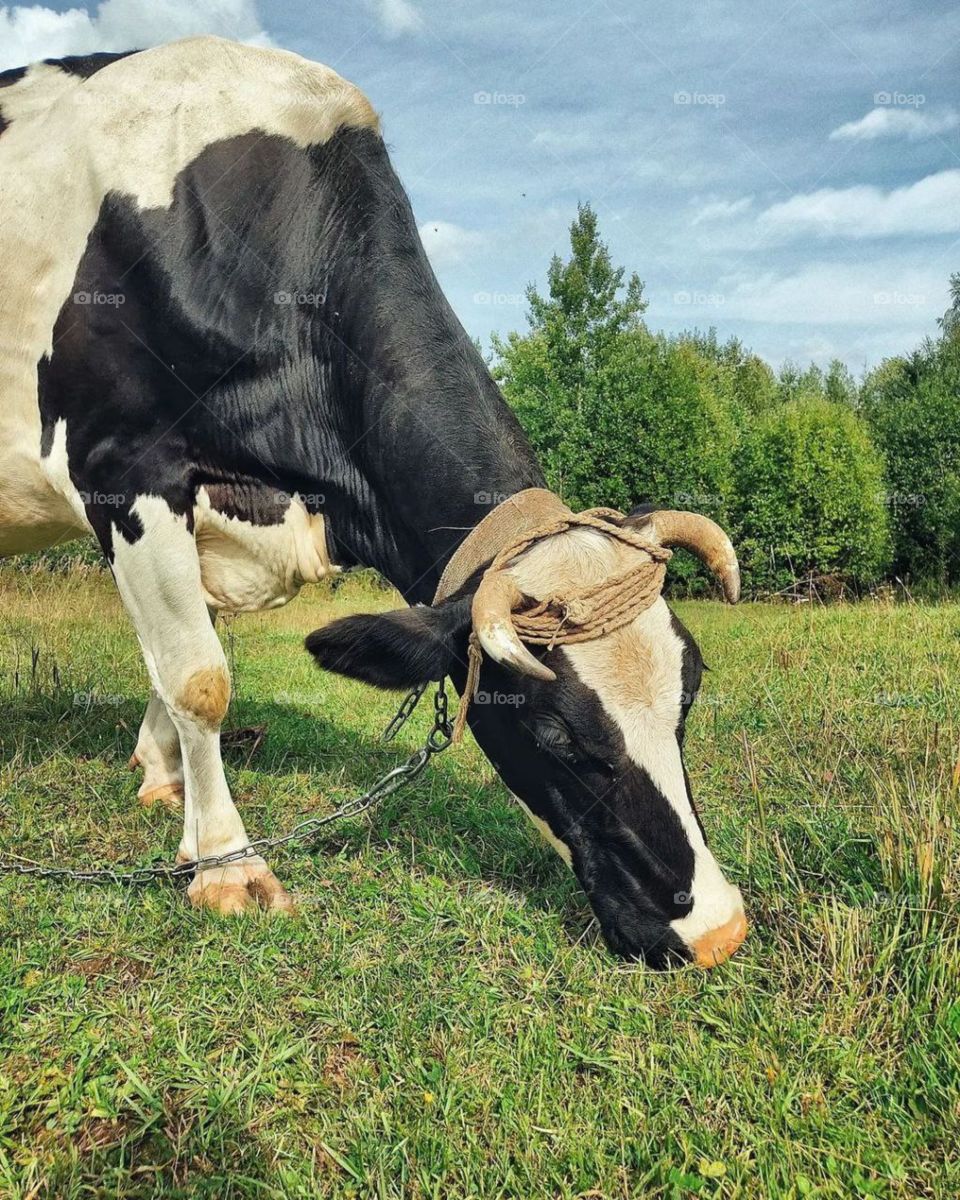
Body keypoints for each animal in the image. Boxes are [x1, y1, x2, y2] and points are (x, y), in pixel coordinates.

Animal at [0, 36, 747, 968]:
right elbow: (200, 677)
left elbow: (180, 662)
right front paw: (228, 866)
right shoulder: (124, 464)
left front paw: (165, 782)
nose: (717, 929)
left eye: (688, 698)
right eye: (557, 737)